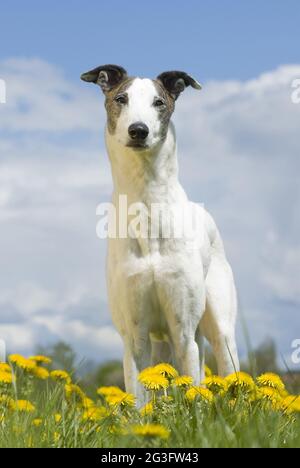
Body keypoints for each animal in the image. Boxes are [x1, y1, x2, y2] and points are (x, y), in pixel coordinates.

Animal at [80, 64, 239, 404]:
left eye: (159, 102)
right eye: (121, 98)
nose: (138, 130)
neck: (147, 208)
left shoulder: (184, 330)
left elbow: (194, 396)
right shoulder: (134, 336)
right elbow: (140, 404)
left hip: (218, 330)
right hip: (161, 343)